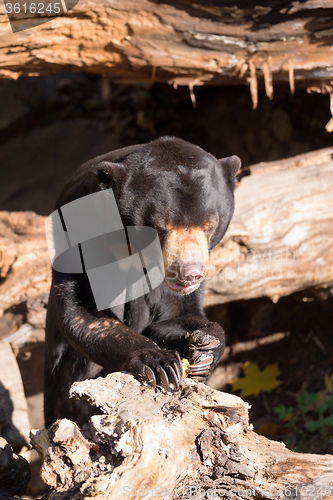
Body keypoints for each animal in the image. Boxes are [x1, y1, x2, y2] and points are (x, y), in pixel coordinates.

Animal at [44, 137, 240, 426]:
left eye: (209, 226)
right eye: (160, 228)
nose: (190, 273)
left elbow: (175, 316)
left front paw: (207, 347)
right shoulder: (80, 239)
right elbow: (85, 315)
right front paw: (158, 363)